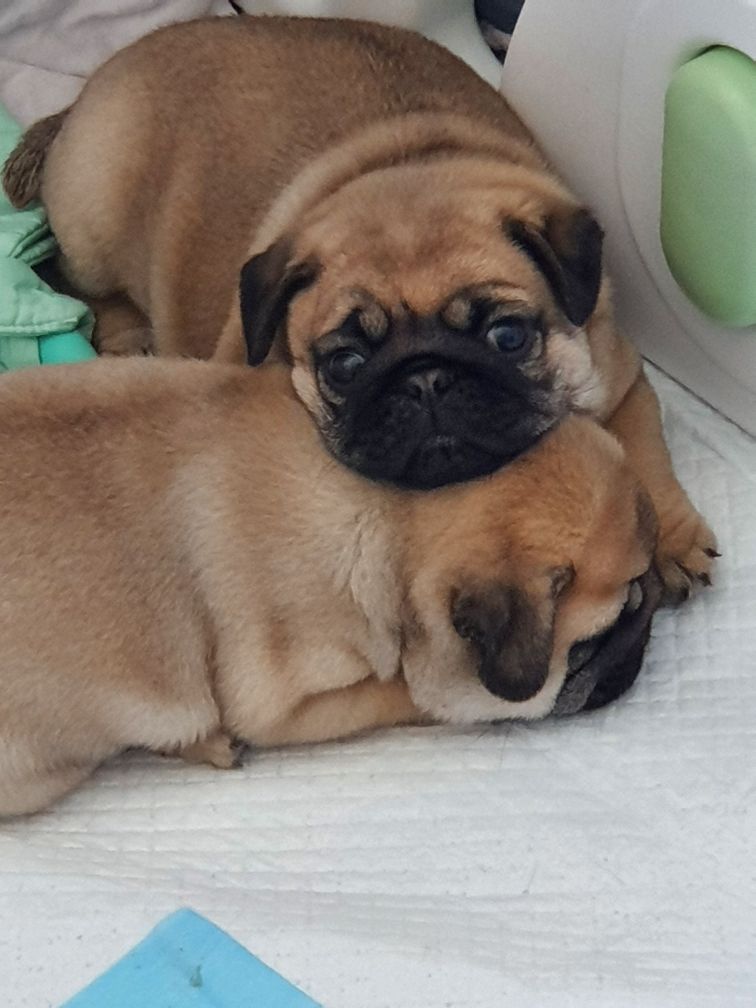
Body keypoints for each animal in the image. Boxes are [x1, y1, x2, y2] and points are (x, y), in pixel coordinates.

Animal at [0, 358, 661, 814]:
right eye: (602, 634)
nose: (642, 651)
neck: (393, 514)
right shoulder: (281, 706)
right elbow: (403, 694)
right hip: (47, 772)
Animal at [1, 13, 717, 596]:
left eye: (508, 337)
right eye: (344, 364)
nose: (426, 380)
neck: (412, 172)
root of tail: (86, 93)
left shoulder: (621, 376)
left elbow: (645, 449)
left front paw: (673, 538)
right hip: (94, 225)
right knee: (76, 278)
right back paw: (126, 335)